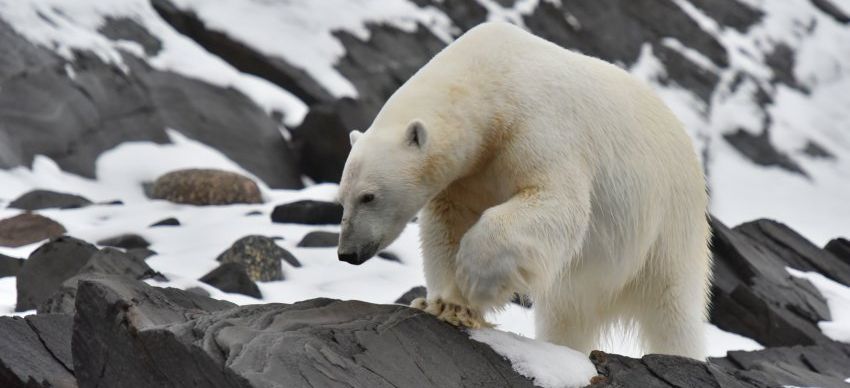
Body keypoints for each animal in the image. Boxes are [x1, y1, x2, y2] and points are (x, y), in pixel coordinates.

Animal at [334, 22, 712, 360]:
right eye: (341, 199)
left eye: (369, 196)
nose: (347, 253)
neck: (492, 83)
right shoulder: (468, 174)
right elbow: (448, 224)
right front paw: (448, 304)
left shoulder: (539, 126)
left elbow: (557, 202)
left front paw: (476, 280)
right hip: (584, 276)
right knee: (565, 313)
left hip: (668, 223)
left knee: (672, 307)